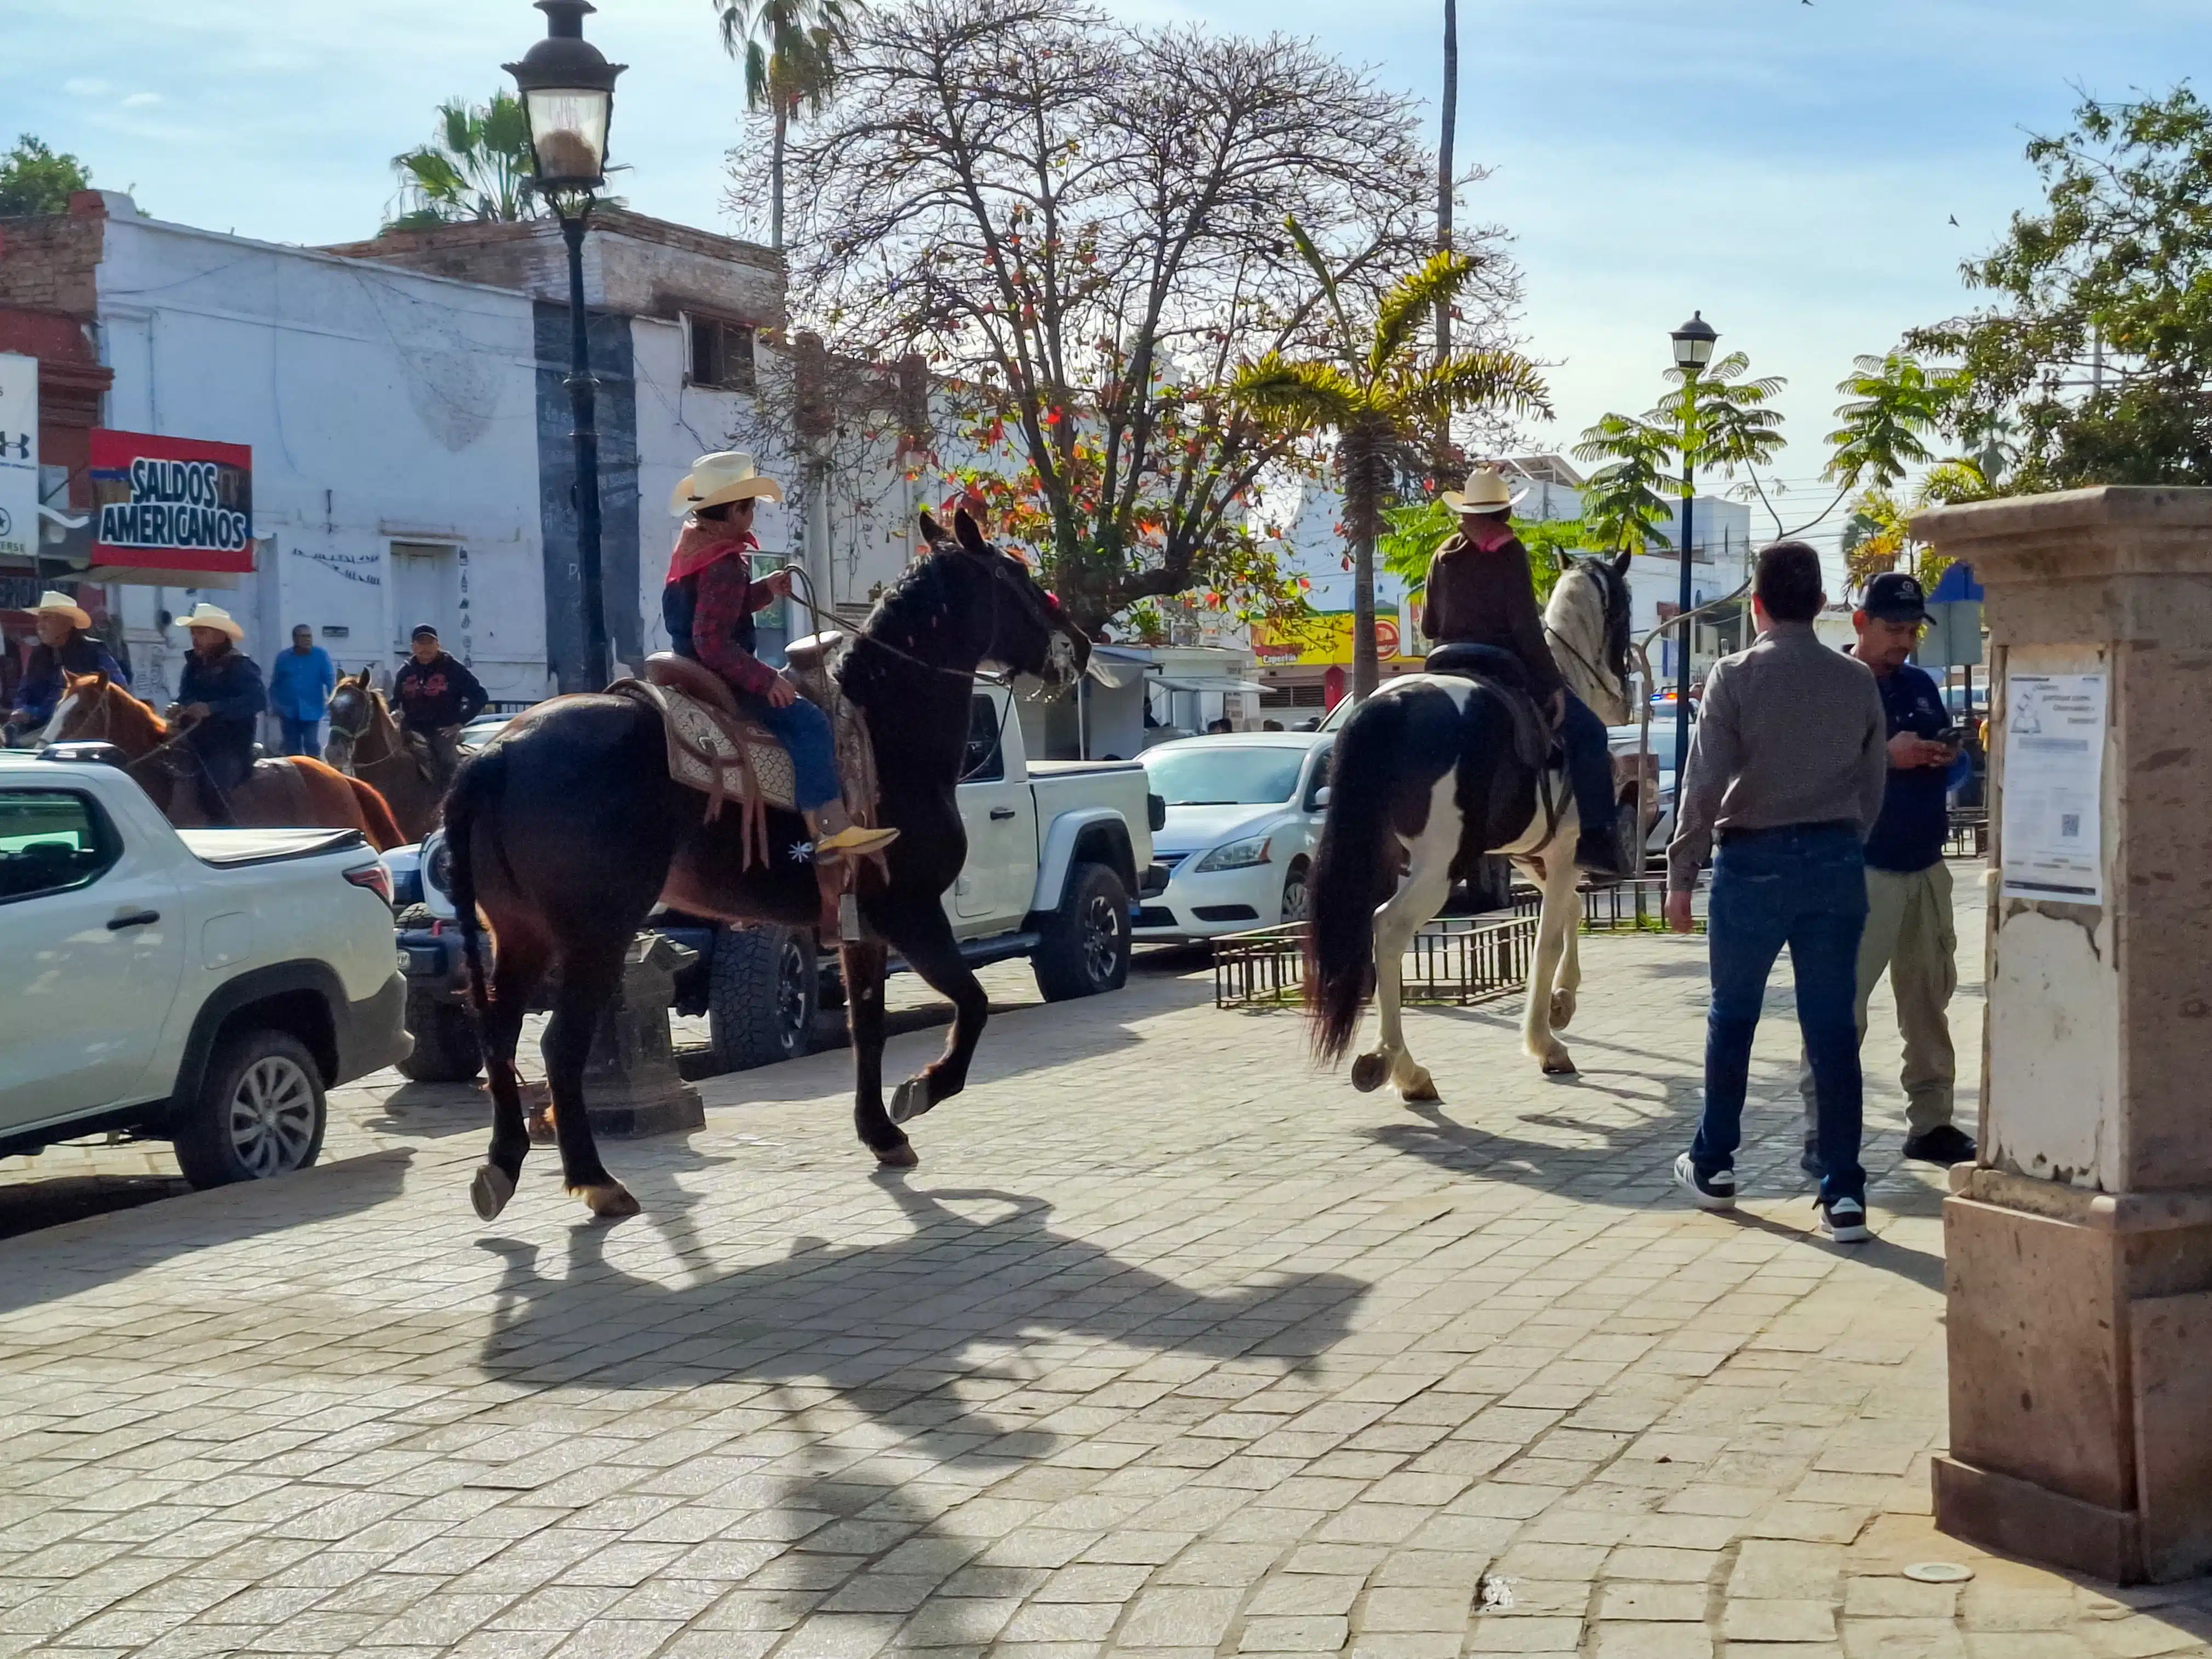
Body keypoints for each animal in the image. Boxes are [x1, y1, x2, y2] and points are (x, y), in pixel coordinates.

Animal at [451, 506, 1097, 1221]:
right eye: (1017, 574)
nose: (1081, 644)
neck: (884, 734)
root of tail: (494, 753)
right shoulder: (910, 910)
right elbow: (973, 1003)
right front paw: (922, 1090)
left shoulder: (861, 926)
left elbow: (867, 1025)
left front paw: (880, 1131)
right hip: (595, 935)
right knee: (559, 1045)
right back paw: (596, 1180)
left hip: (521, 934)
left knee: (499, 1033)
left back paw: (500, 1165)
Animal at [1300, 559, 1636, 1097]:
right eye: (1623, 609)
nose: (1622, 696)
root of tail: (1388, 706)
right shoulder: (1562, 850)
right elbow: (1547, 939)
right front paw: (1546, 1041)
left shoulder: (1528, 853)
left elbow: (1571, 909)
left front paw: (1562, 1001)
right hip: (1441, 865)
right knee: (1388, 928)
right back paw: (1399, 1065)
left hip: (1384, 857)